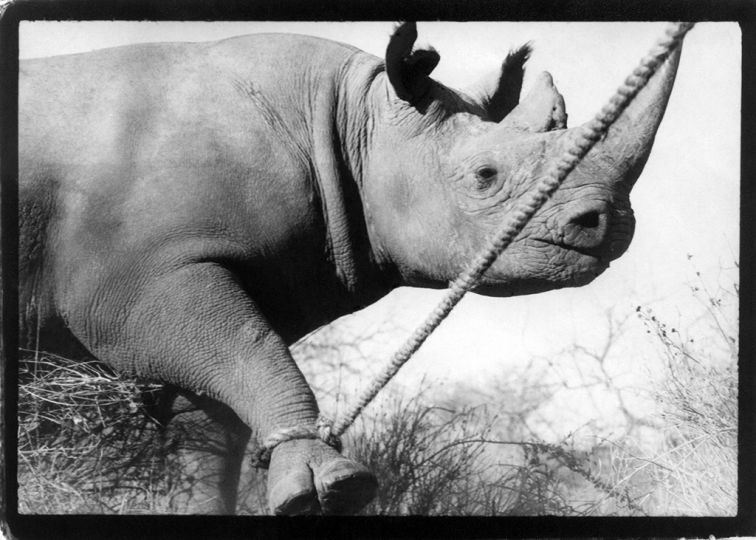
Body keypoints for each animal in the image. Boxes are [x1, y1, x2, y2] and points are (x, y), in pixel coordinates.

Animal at [17, 22, 681, 514]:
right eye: (485, 176)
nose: (609, 222)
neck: (348, 118)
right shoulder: (137, 280)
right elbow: (250, 354)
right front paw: (335, 487)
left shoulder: (204, 274)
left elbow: (208, 429)